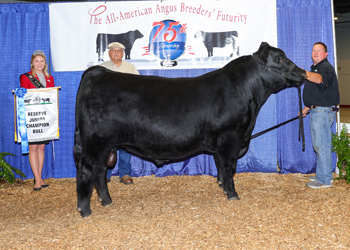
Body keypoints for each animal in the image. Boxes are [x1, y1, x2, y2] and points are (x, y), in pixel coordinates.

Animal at [74, 42, 306, 217]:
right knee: (87, 170)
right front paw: (232, 194)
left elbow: (220, 166)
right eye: (278, 59)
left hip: (107, 145)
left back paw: (106, 201)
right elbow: (229, 167)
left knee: (101, 172)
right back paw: (85, 210)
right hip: (96, 142)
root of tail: (98, 72)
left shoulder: (222, 144)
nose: (303, 72)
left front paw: (222, 187)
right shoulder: (231, 139)